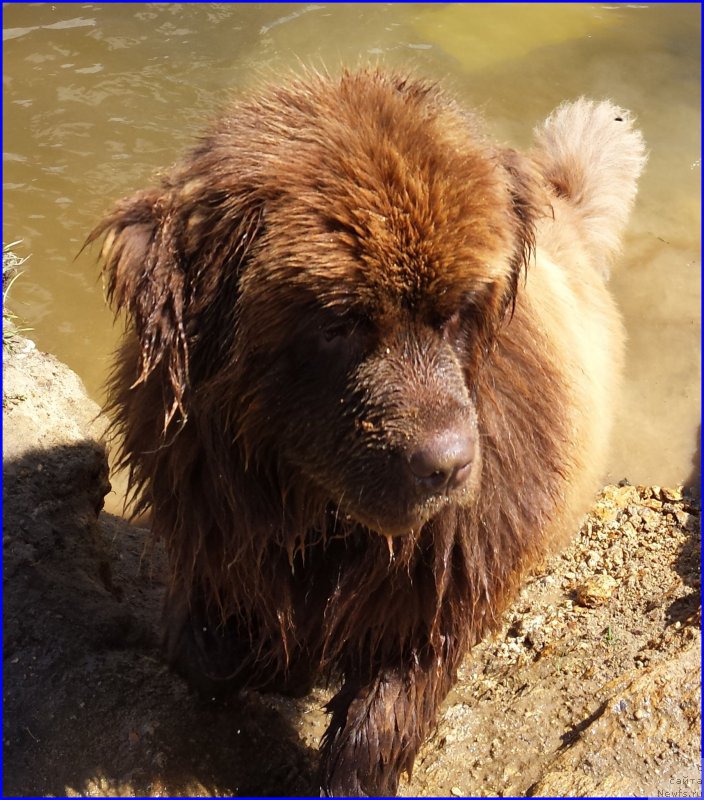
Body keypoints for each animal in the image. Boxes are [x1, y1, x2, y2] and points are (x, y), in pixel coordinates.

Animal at [91, 72, 648, 796]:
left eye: (459, 313)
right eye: (338, 324)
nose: (449, 465)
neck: (319, 512)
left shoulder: (443, 581)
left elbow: (381, 716)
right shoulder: (210, 513)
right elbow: (203, 650)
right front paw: (261, 660)